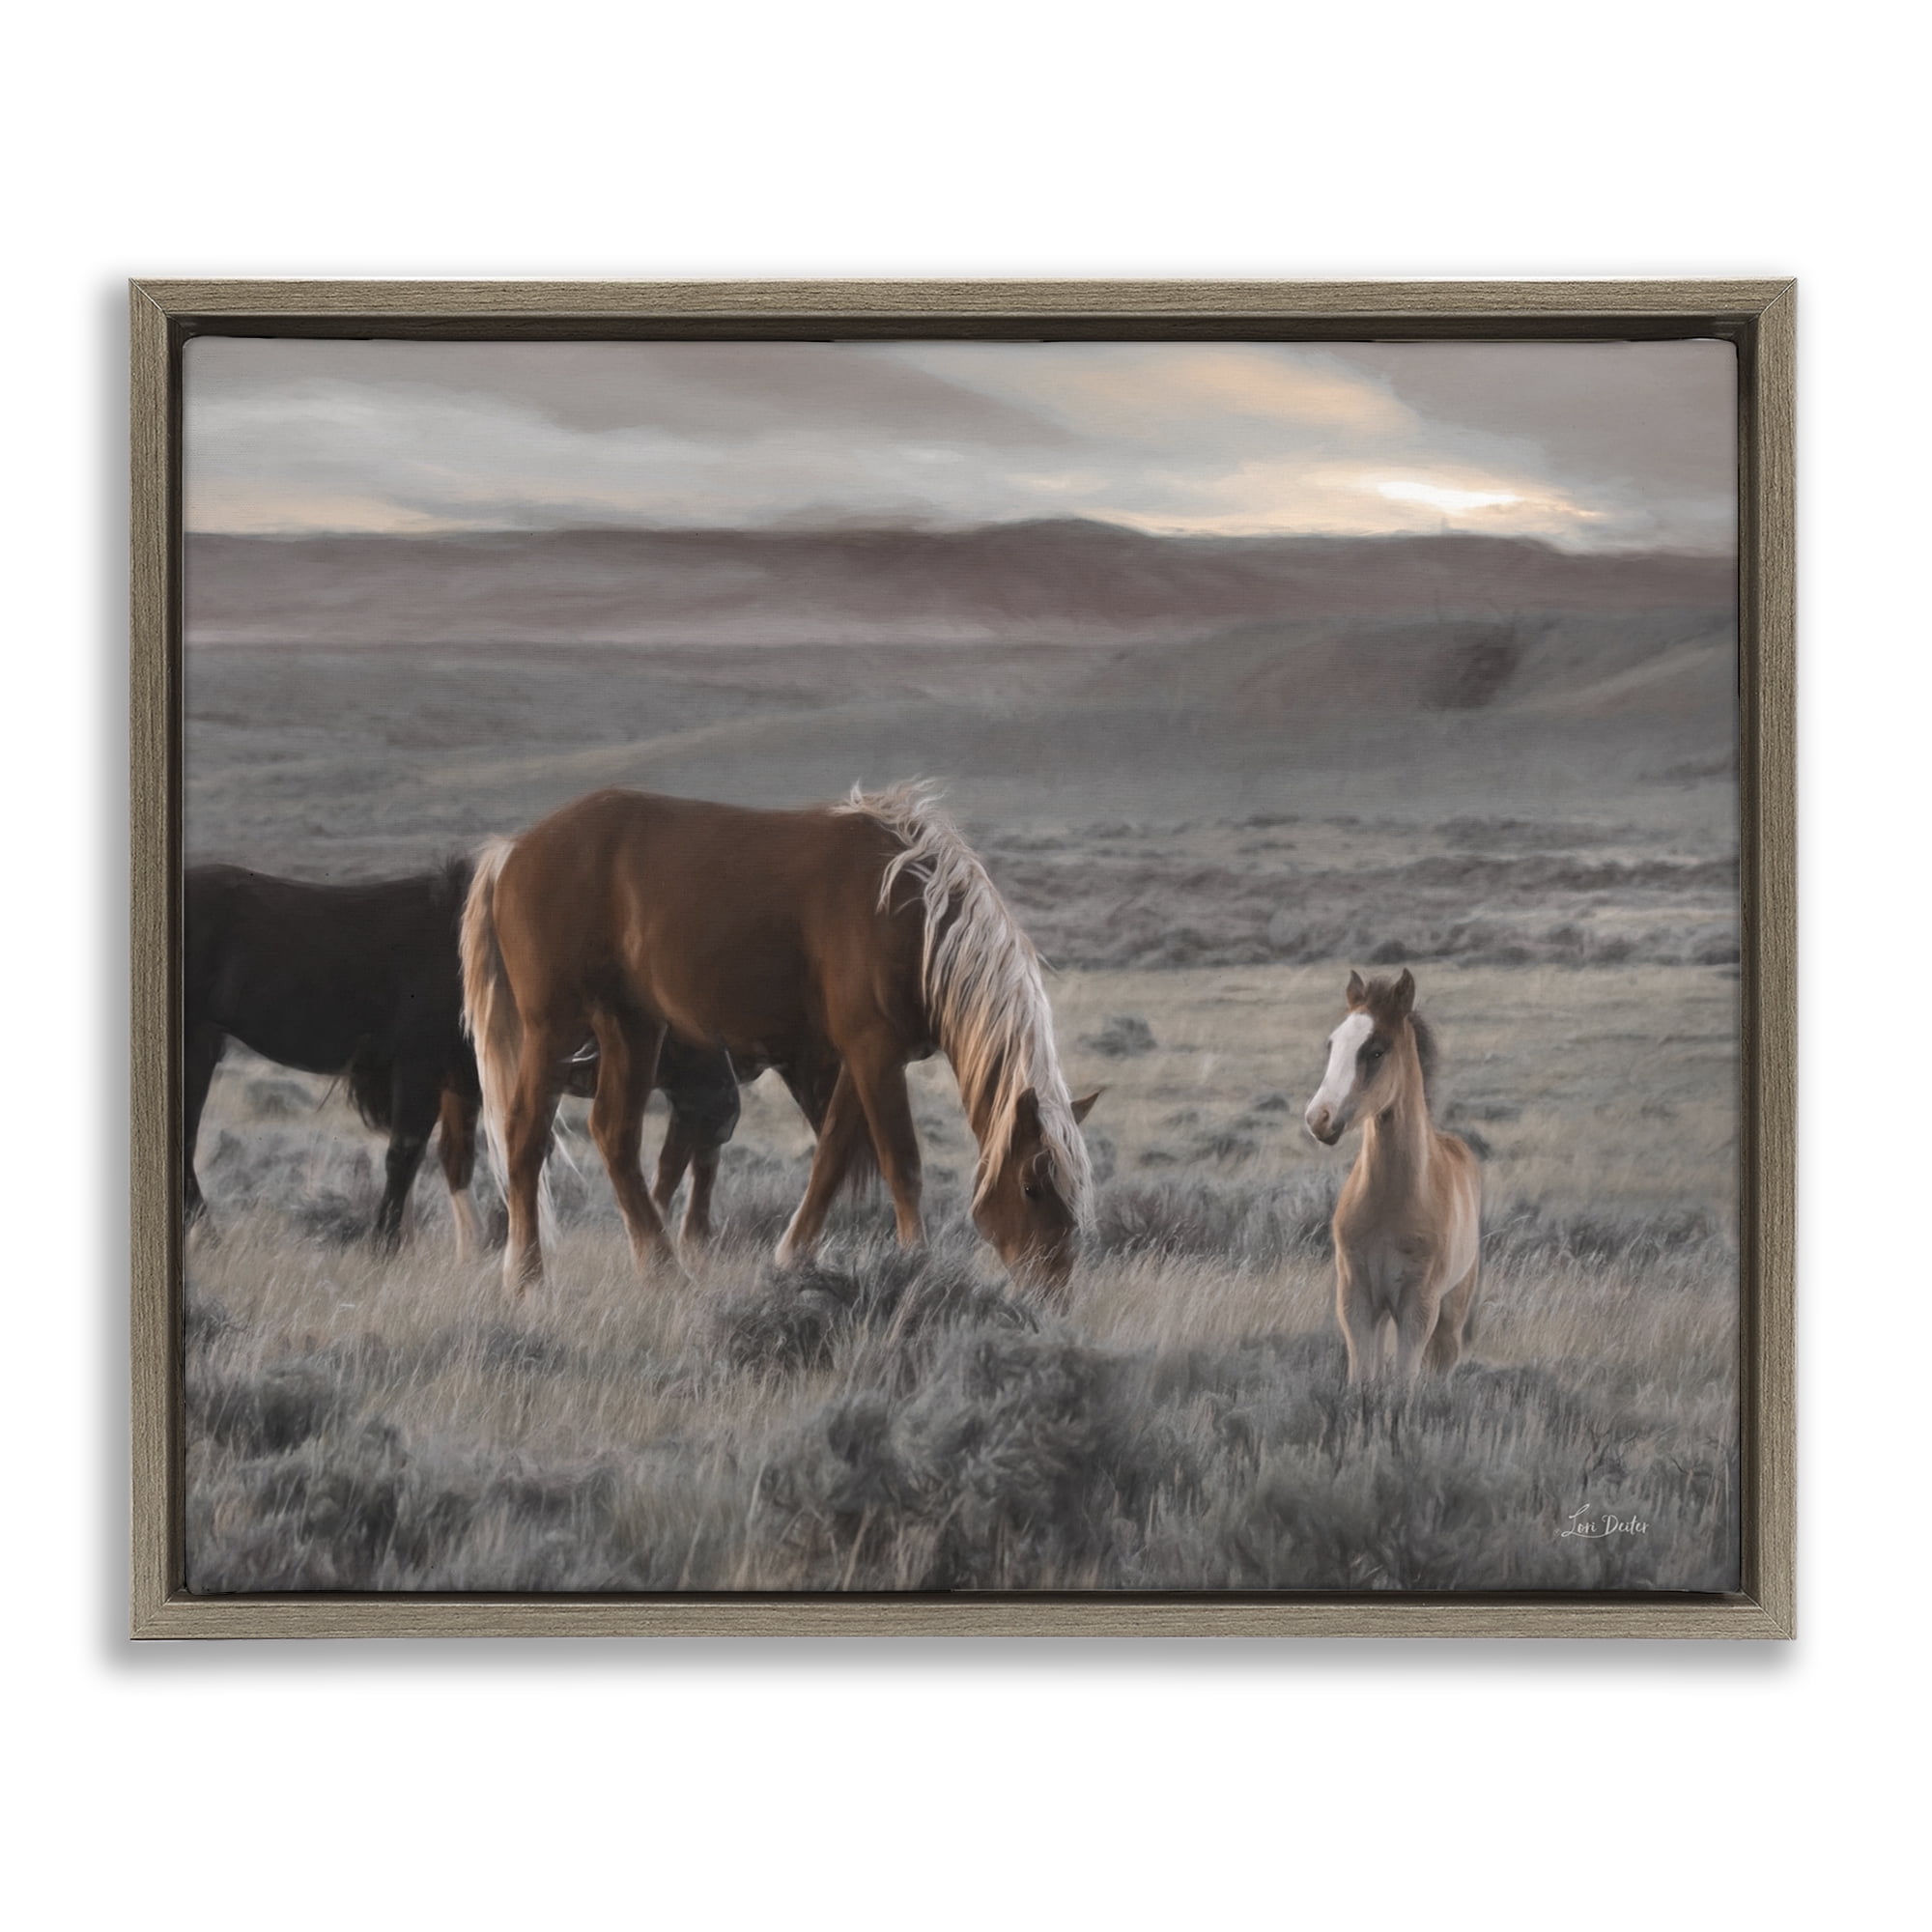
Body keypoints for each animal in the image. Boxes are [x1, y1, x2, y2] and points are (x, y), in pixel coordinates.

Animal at [184, 859, 743, 1253]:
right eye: (670, 1023)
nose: (728, 1108)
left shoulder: (461, 1081)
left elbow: (462, 1158)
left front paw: (477, 1244)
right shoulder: (420, 1069)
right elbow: (406, 1154)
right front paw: (388, 1242)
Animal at [460, 781, 1099, 1293]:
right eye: (1032, 1186)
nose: (1053, 1291)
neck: (913, 916)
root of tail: (513, 852)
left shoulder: (862, 1057)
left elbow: (833, 1156)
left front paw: (793, 1256)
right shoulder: (874, 1053)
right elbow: (902, 1162)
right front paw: (917, 1261)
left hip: (633, 1027)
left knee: (615, 1136)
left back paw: (662, 1267)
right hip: (552, 1028)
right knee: (525, 1135)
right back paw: (526, 1275)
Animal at [1303, 969, 1481, 1384]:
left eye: (1376, 1051)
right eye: (1332, 1044)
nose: (1318, 1118)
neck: (1391, 1201)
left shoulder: (1419, 1307)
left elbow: (1404, 1382)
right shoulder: (1356, 1299)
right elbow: (1362, 1378)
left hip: (1453, 1306)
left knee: (1444, 1361)